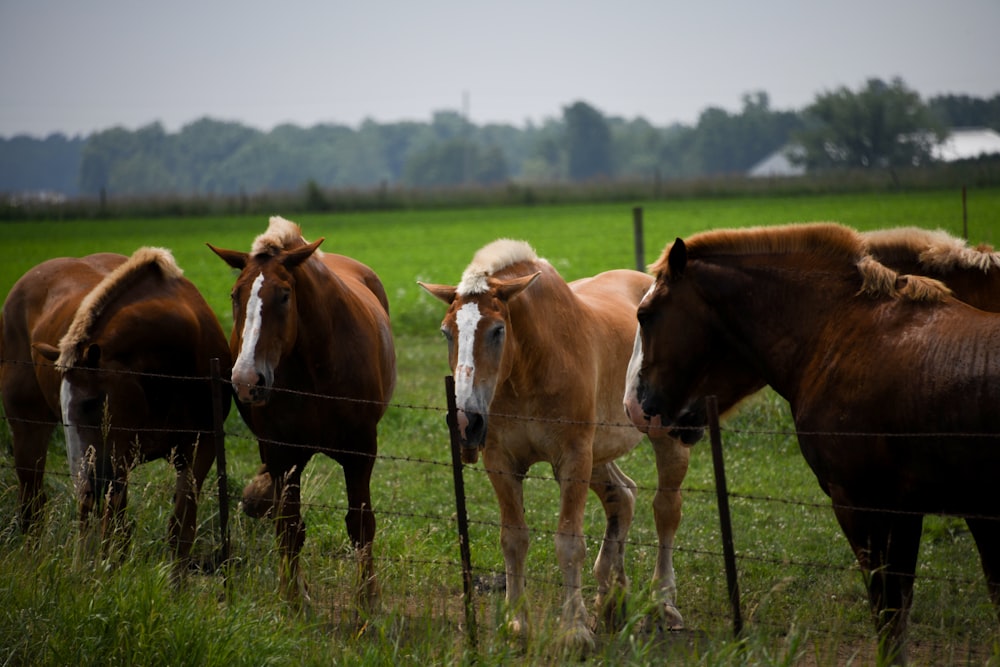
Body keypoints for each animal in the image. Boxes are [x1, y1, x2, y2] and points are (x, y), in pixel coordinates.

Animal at [0, 245, 230, 580]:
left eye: (92, 402)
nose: (85, 482)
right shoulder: (115, 461)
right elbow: (113, 528)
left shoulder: (201, 448)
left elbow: (181, 525)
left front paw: (176, 584)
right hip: (32, 433)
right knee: (35, 506)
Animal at [207, 217, 394, 608]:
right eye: (235, 296)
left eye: (283, 295)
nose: (247, 380)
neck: (317, 369)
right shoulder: (282, 453)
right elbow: (289, 525)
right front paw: (292, 597)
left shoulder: (361, 453)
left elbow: (361, 524)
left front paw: (367, 599)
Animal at [418, 239, 692, 652]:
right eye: (447, 332)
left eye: (498, 330)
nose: (467, 421)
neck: (532, 364)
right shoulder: (502, 462)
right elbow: (514, 539)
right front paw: (516, 623)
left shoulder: (573, 458)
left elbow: (568, 542)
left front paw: (574, 631)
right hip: (599, 453)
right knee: (623, 496)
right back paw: (611, 599)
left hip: (660, 439)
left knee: (666, 510)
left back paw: (664, 605)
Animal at [624, 224, 1000, 664]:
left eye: (645, 315)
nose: (633, 406)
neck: (841, 332)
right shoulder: (912, 509)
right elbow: (900, 609)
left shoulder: (861, 504)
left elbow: (888, 613)